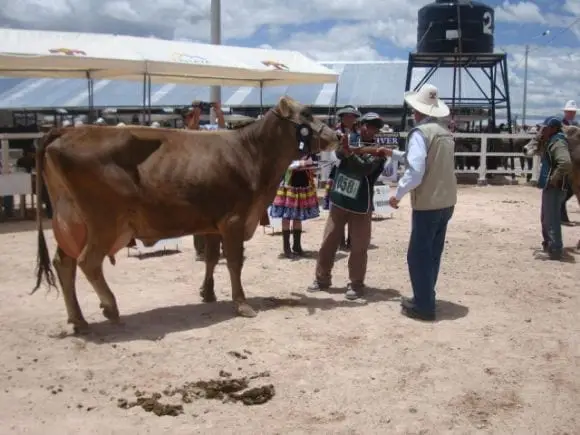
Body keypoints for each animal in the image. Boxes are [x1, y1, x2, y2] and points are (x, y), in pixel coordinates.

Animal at [31, 97, 340, 332]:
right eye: (307, 113)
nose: (337, 135)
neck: (251, 153)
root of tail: (67, 132)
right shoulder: (234, 220)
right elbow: (234, 263)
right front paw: (242, 304)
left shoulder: (213, 223)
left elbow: (212, 259)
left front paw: (208, 293)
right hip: (103, 222)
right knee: (88, 262)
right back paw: (110, 307)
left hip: (72, 223)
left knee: (64, 264)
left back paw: (78, 319)